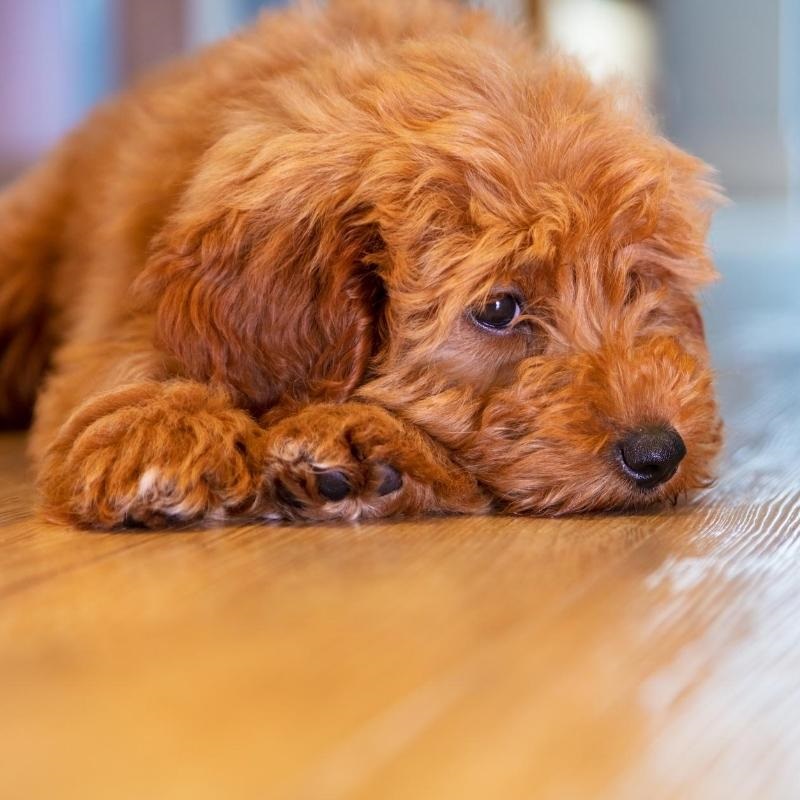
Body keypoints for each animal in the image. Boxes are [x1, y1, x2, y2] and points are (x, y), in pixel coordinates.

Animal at [0, 0, 720, 528]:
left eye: (637, 283)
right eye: (497, 308)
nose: (659, 452)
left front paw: (367, 449)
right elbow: (129, 354)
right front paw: (163, 430)